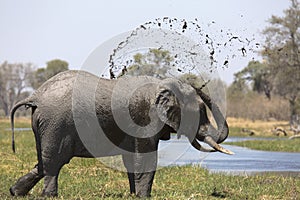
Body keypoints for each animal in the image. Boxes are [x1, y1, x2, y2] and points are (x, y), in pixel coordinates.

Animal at [8, 70, 232, 197]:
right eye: (200, 112)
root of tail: (36, 96)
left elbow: (132, 160)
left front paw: (133, 195)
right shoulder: (145, 119)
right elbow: (146, 159)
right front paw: (143, 197)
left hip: (44, 124)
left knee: (44, 161)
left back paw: (15, 192)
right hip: (56, 123)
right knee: (55, 160)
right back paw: (49, 196)